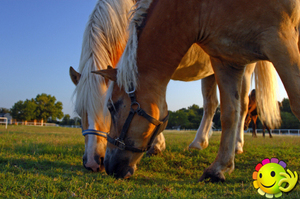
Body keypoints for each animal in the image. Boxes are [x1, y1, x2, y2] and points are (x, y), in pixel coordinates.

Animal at [95, 0, 298, 181]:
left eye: (112, 107)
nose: (108, 166)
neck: (199, 7)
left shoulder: (279, 40)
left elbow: (295, 102)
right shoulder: (226, 60)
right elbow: (228, 114)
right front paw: (218, 169)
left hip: (250, 66)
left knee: (244, 104)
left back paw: (237, 145)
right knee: (218, 105)